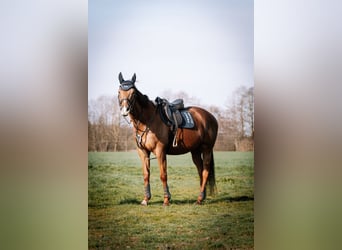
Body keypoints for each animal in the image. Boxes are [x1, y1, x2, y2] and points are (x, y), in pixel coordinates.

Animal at [117, 72, 218, 205]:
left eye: (133, 93)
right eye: (119, 92)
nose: (125, 110)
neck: (147, 121)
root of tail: (210, 117)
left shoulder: (160, 151)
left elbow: (163, 175)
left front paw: (166, 199)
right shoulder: (143, 152)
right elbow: (146, 175)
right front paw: (146, 199)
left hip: (206, 149)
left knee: (205, 172)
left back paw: (200, 199)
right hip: (195, 151)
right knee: (200, 171)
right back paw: (202, 197)